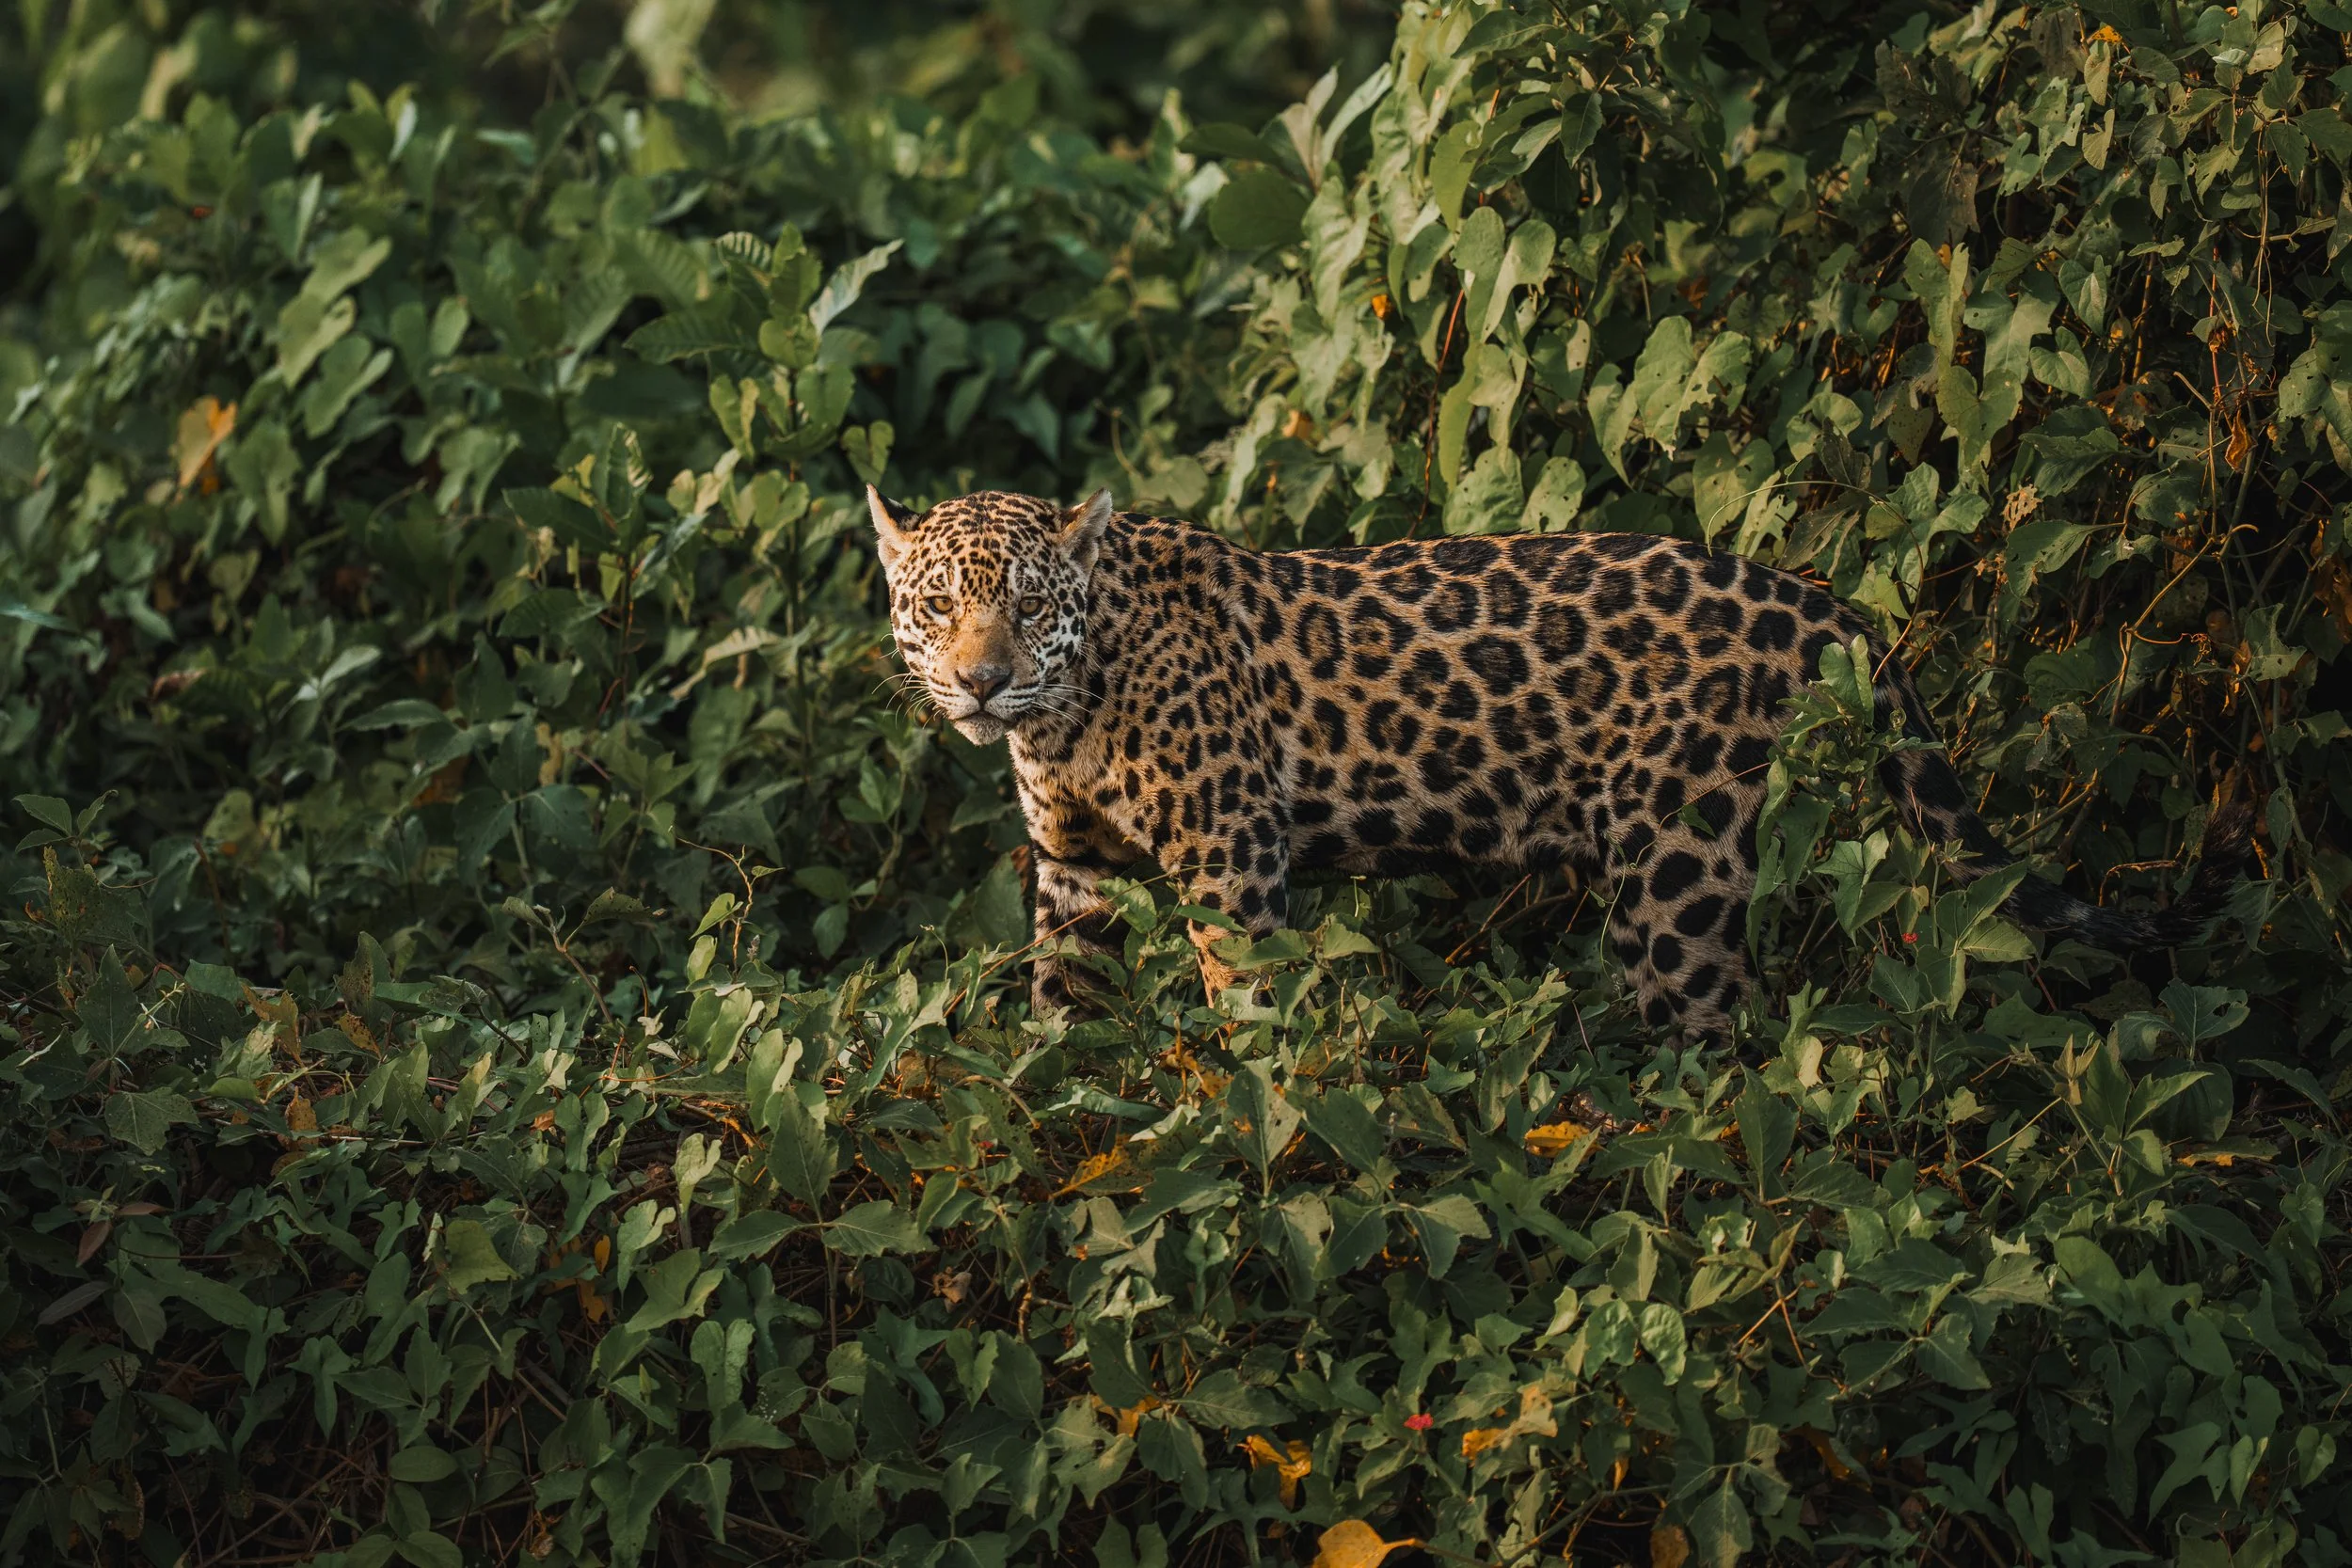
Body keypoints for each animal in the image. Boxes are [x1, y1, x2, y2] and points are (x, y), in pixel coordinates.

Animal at [866, 485, 2253, 1042]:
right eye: (936, 607)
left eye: (1030, 604)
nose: (981, 680)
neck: (1068, 710)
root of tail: (1815, 602)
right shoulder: (1073, 867)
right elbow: (1065, 994)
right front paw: (1062, 1102)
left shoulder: (1229, 858)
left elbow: (1248, 1000)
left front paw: (1239, 1105)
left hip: (1681, 860)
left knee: (1720, 1025)